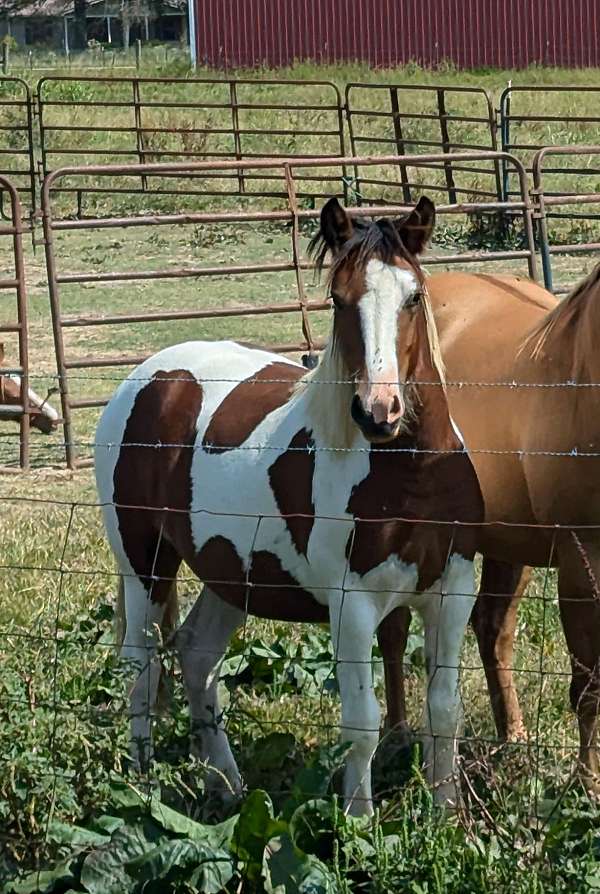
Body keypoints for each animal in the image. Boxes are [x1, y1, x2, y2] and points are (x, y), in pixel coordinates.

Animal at [96, 198, 486, 820]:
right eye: (339, 299)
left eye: (414, 296)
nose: (379, 411)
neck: (411, 478)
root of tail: (149, 378)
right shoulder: (352, 606)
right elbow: (362, 724)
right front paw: (359, 823)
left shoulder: (453, 591)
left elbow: (444, 711)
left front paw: (445, 817)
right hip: (144, 564)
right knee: (142, 666)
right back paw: (143, 788)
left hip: (231, 576)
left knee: (197, 658)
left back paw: (226, 786)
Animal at [380, 270, 600, 796]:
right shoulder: (583, 562)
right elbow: (589, 686)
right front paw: (589, 787)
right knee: (393, 632)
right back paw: (397, 736)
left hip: (506, 543)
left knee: (491, 628)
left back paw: (513, 738)